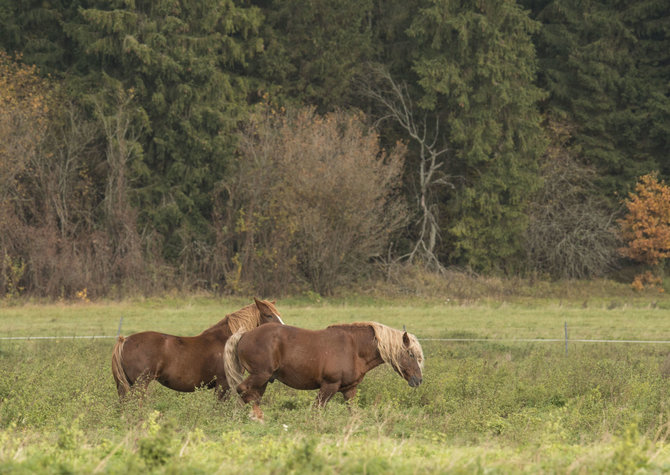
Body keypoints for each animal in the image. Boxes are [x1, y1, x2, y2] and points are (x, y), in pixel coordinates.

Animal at [111, 300, 284, 400]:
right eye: (268, 315)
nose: (283, 329)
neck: (226, 342)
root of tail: (125, 341)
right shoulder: (223, 384)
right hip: (140, 384)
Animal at [224, 322, 426, 422]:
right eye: (410, 354)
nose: (418, 380)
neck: (354, 349)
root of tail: (245, 335)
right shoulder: (329, 386)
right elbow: (317, 410)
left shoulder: (348, 389)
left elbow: (353, 412)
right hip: (260, 375)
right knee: (242, 391)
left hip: (263, 379)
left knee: (251, 396)